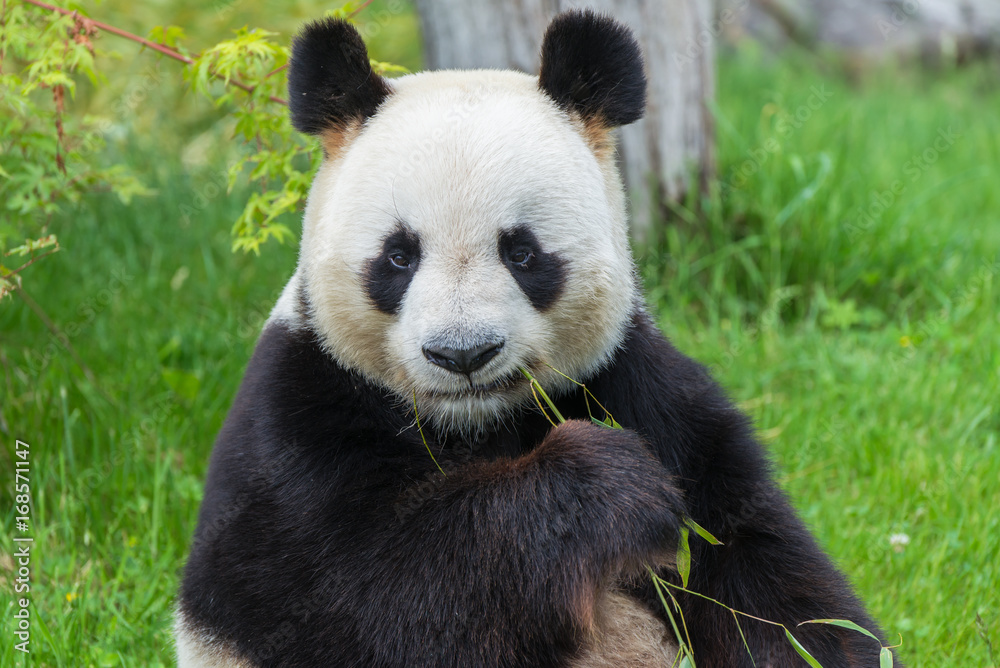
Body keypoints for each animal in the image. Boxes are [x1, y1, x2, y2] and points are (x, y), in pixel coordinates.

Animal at [176, 10, 899, 668]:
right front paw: (608, 483)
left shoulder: (637, 386)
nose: (462, 354)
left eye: (522, 252)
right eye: (398, 257)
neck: (475, 425)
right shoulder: (297, 423)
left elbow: (762, 576)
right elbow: (369, 595)